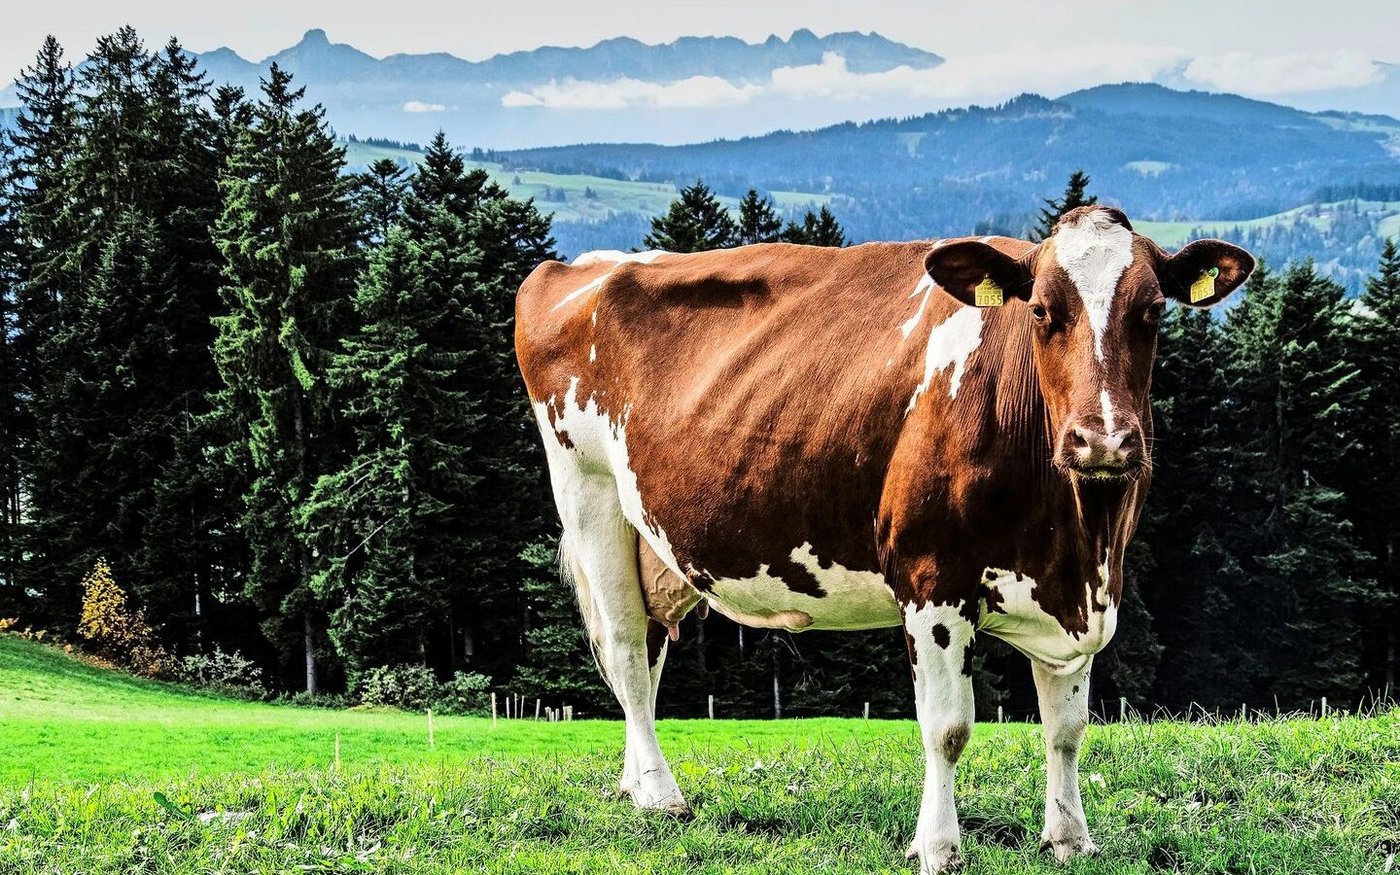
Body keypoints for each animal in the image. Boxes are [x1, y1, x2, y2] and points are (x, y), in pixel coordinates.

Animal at [514, 208, 1253, 873]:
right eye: (1042, 311)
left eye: (1152, 311)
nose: (1102, 440)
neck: (1076, 537)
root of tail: (581, 265)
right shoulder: (932, 581)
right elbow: (948, 726)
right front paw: (938, 846)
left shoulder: (1083, 592)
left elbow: (1067, 729)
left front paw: (1070, 839)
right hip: (590, 496)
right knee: (625, 651)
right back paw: (662, 797)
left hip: (658, 548)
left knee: (648, 651)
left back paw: (633, 784)